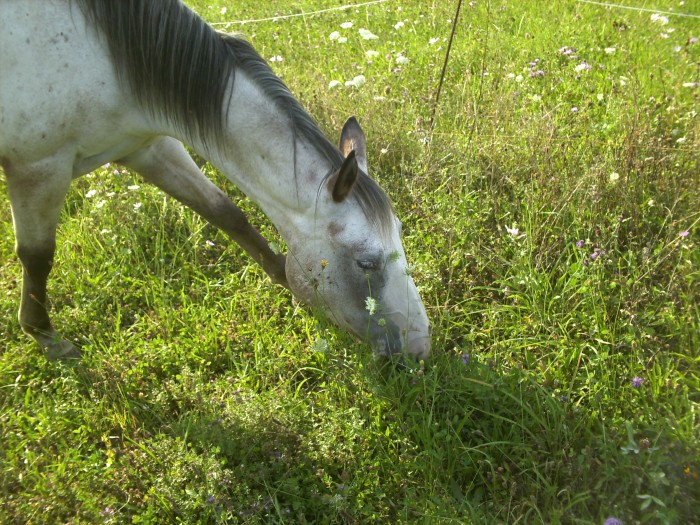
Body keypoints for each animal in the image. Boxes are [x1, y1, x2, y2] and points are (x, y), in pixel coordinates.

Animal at [0, 0, 430, 360]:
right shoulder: (39, 168)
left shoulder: (147, 146)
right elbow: (37, 256)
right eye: (367, 263)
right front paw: (46, 337)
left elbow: (226, 213)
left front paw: (287, 285)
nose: (420, 348)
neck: (102, 53)